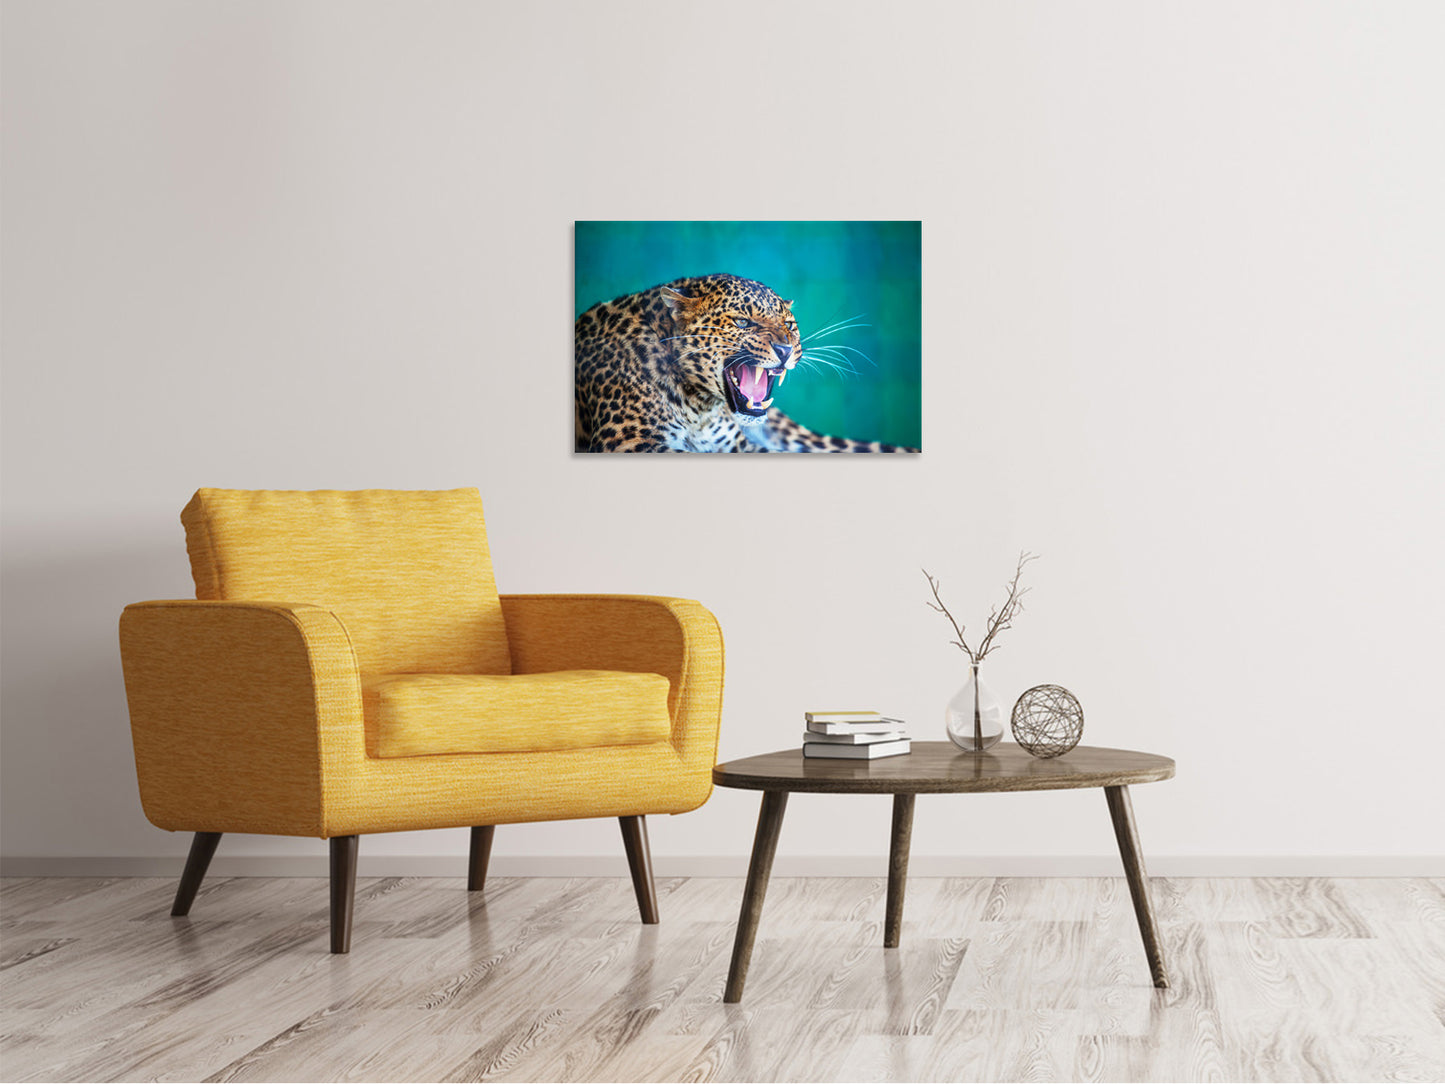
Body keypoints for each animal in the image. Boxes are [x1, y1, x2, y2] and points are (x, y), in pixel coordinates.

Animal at [574, 273, 919, 453]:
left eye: (789, 325)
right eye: (742, 322)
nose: (785, 349)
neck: (699, 409)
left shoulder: (741, 447)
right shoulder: (627, 442)